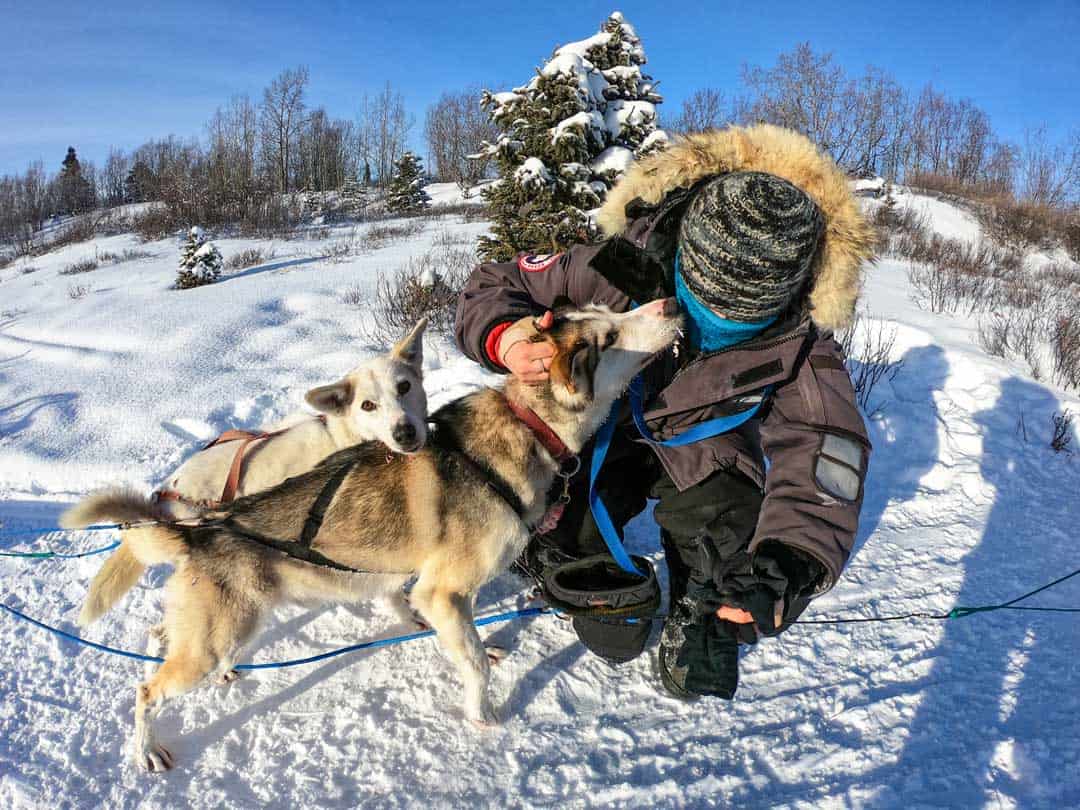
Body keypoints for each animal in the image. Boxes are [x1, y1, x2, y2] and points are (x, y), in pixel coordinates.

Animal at [61, 300, 682, 773]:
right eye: (610, 336)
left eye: (611, 311)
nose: (670, 303)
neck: (526, 427)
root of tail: (200, 529)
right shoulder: (441, 591)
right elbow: (472, 665)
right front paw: (483, 717)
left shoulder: (437, 591)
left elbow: (463, 639)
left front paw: (481, 645)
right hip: (215, 637)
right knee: (146, 692)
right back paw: (146, 749)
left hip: (223, 628)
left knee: (160, 636)